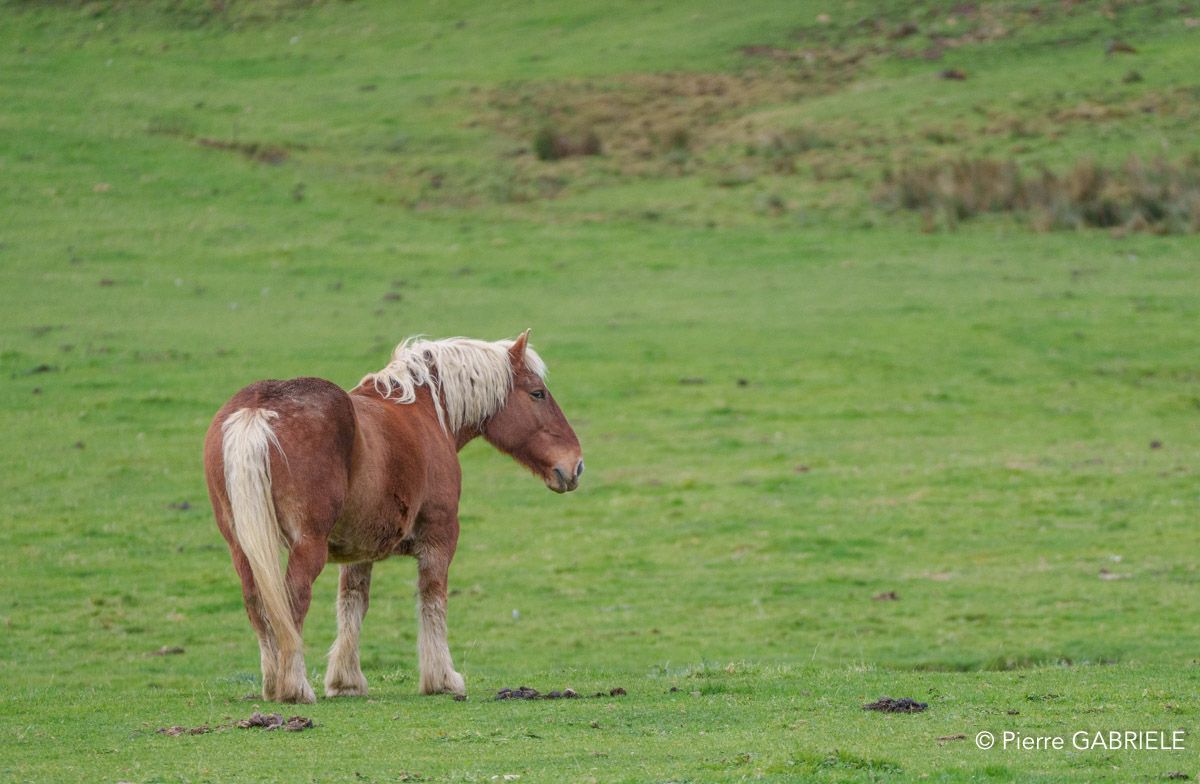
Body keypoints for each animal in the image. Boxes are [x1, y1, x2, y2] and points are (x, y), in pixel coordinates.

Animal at [203, 331, 584, 703]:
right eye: (537, 393)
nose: (575, 465)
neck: (426, 411)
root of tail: (257, 408)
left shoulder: (357, 550)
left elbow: (352, 604)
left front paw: (346, 681)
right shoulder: (440, 536)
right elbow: (433, 601)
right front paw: (442, 679)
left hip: (242, 547)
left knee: (257, 602)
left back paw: (271, 684)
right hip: (307, 544)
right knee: (292, 600)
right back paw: (294, 687)